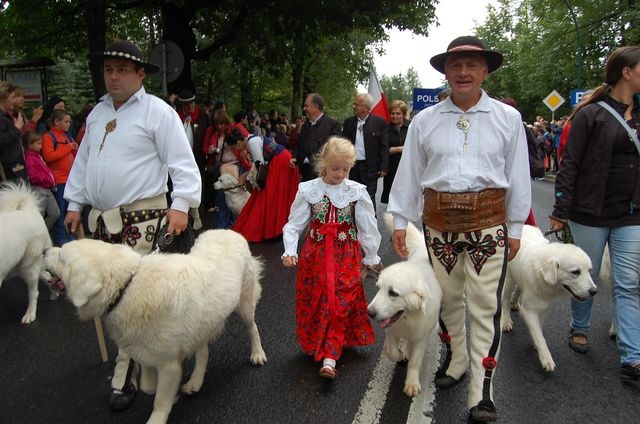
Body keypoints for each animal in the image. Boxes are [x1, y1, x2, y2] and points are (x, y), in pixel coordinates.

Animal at [0, 181, 53, 322]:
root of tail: (29, 210)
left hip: (30, 266)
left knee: (34, 293)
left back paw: (30, 315)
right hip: (23, 266)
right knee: (48, 276)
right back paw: (55, 294)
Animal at [44, 230, 264, 424]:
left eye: (61, 255)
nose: (45, 250)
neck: (125, 287)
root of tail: (231, 231)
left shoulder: (169, 365)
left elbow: (160, 400)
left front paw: (158, 416)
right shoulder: (144, 351)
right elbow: (147, 386)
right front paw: (167, 393)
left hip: (244, 304)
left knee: (253, 329)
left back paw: (257, 354)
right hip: (203, 322)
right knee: (203, 352)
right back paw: (195, 382)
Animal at [368, 215, 442, 398]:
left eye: (393, 293)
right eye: (378, 288)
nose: (369, 313)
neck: (408, 318)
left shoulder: (422, 334)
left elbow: (415, 360)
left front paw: (412, 383)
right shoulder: (392, 331)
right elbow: (393, 352)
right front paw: (399, 354)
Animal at [502, 225, 596, 372]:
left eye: (589, 271)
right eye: (575, 272)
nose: (594, 291)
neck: (543, 273)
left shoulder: (544, 308)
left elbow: (539, 329)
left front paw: (536, 344)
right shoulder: (529, 311)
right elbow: (539, 336)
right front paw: (546, 357)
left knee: (518, 289)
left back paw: (515, 302)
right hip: (509, 278)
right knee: (505, 299)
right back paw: (506, 320)